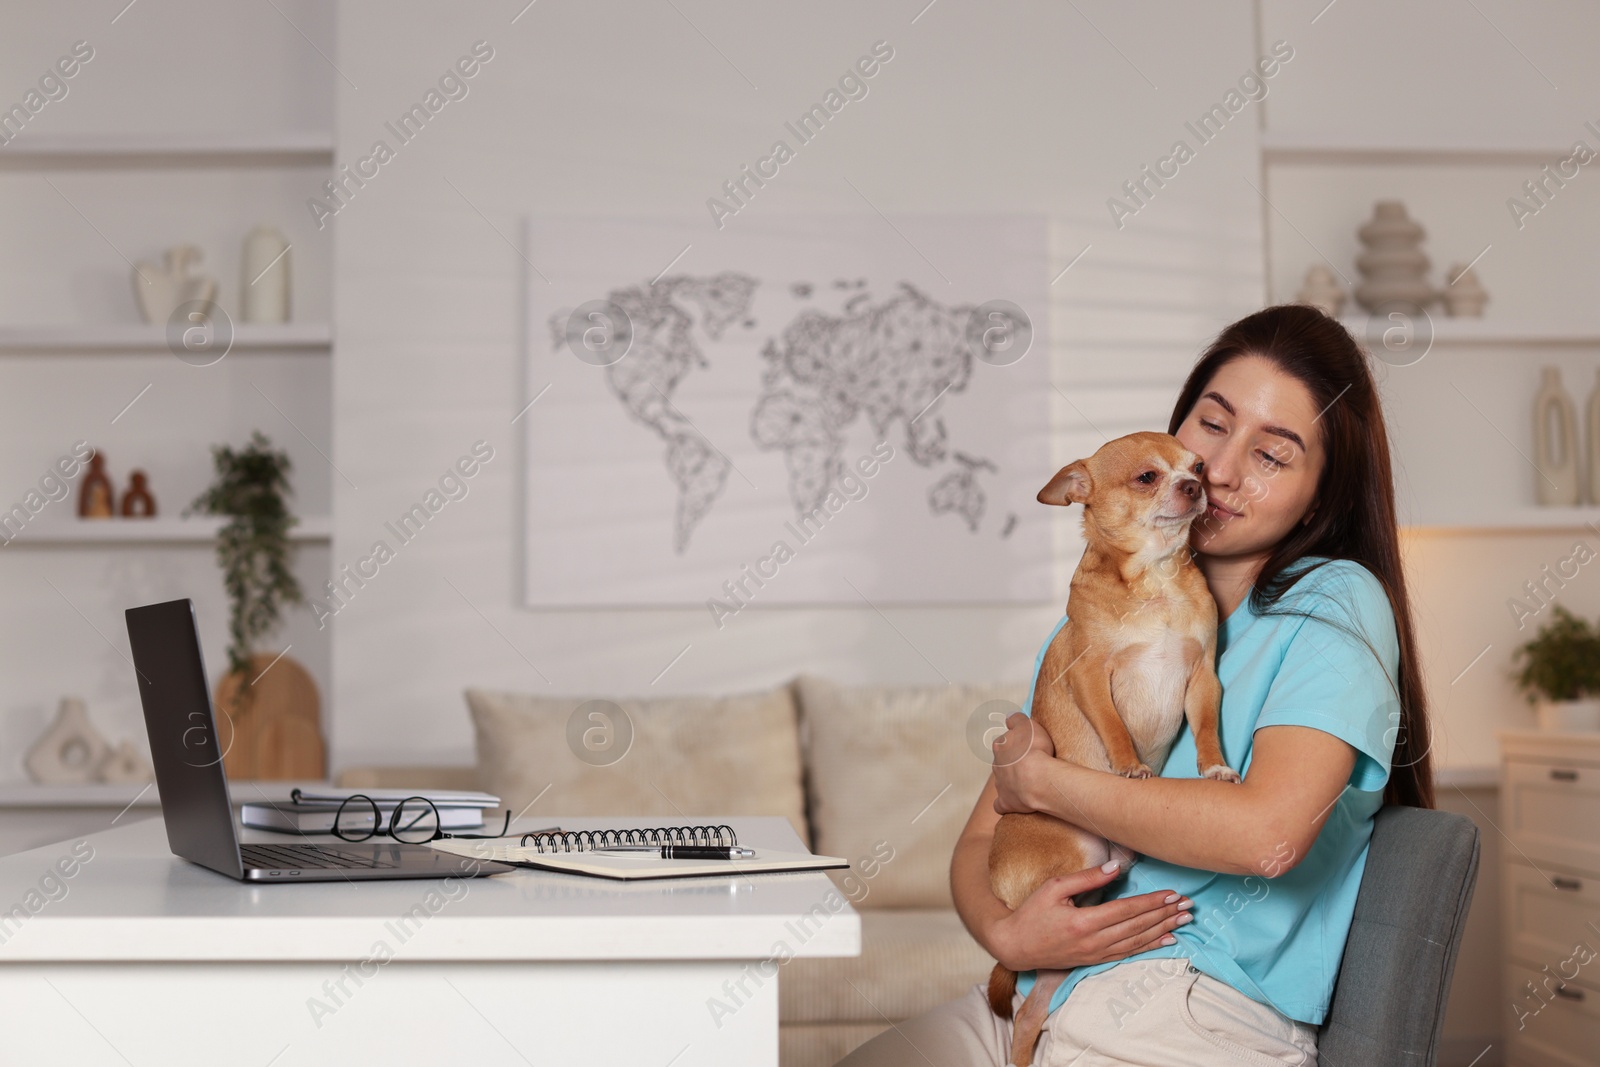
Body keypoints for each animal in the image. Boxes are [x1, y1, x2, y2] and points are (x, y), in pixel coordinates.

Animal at [985, 428, 1235, 1062]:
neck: (1157, 576)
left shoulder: (1204, 678)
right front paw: (1129, 768)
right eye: (1147, 477)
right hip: (1073, 861)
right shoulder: (1091, 677)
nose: (1194, 486)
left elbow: (1207, 726)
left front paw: (1215, 767)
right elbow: (1115, 728)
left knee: (1028, 1013)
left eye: (1199, 466)